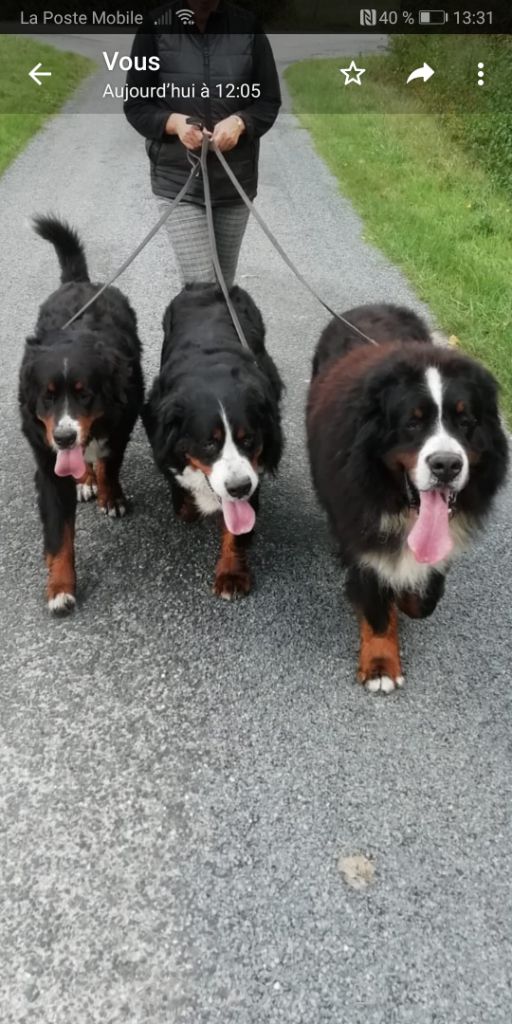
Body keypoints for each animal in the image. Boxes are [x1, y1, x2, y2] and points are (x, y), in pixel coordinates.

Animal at [18, 217, 143, 614]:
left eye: (84, 393)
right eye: (47, 396)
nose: (64, 437)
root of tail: (80, 282)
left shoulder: (120, 423)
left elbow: (109, 465)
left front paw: (111, 497)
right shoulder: (48, 463)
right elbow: (60, 533)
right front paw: (60, 588)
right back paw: (84, 479)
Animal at [143, 284, 284, 598]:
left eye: (248, 439)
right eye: (209, 443)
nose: (238, 487)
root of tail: (206, 285)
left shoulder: (252, 470)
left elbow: (236, 526)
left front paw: (232, 573)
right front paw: (187, 502)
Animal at [305, 299, 509, 692]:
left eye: (466, 421)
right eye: (413, 422)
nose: (446, 465)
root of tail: (371, 305)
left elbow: (424, 597)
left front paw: (407, 598)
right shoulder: (361, 529)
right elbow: (376, 604)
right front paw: (381, 665)